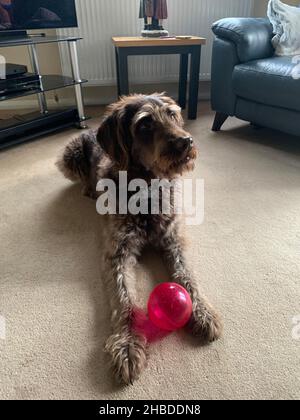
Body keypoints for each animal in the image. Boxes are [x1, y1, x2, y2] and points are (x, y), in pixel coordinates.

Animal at [56, 93, 220, 386]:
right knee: (82, 180)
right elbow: (124, 299)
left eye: (173, 114)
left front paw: (202, 311)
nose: (186, 142)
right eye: (144, 124)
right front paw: (128, 343)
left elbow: (188, 276)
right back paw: (89, 189)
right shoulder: (117, 254)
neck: (147, 188)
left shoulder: (173, 241)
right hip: (69, 156)